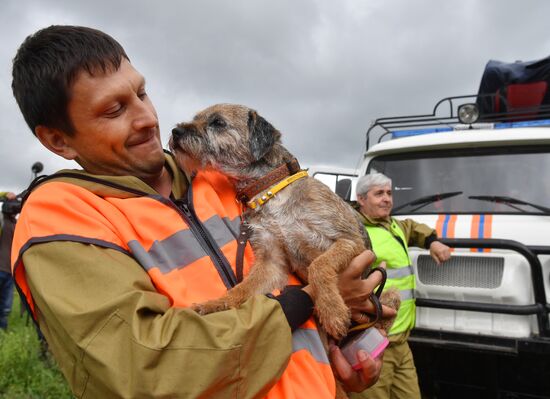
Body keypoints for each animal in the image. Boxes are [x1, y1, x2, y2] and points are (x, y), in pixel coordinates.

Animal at [170, 104, 398, 340]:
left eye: (218, 123)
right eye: (196, 118)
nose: (175, 132)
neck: (271, 192)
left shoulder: (351, 241)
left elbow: (319, 265)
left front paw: (332, 311)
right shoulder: (271, 262)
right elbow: (242, 288)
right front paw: (214, 304)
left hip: (389, 294)